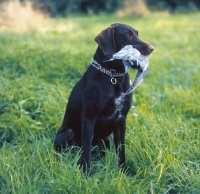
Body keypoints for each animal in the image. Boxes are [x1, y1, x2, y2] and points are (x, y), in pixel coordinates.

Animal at [54, 23, 154, 171]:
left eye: (137, 34)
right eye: (128, 35)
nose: (152, 48)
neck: (114, 76)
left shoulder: (121, 120)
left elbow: (121, 150)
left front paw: (124, 170)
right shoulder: (88, 118)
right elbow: (86, 150)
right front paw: (85, 172)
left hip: (105, 139)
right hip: (68, 132)